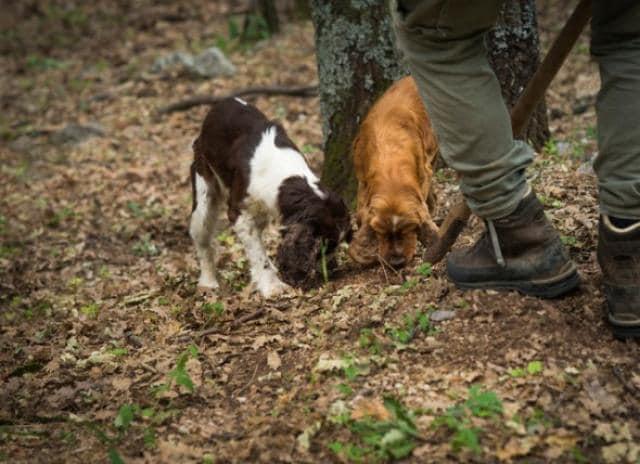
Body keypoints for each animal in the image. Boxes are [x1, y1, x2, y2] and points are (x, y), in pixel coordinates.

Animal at [190, 97, 350, 298]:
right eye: (324, 247)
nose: (333, 270)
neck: (283, 175)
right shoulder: (239, 213)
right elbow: (258, 254)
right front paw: (273, 287)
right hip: (204, 194)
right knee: (202, 240)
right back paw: (208, 282)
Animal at [350, 76, 440, 268]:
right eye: (381, 233)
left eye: (410, 228)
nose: (397, 262)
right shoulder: (362, 180)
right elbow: (361, 212)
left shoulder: (424, 172)